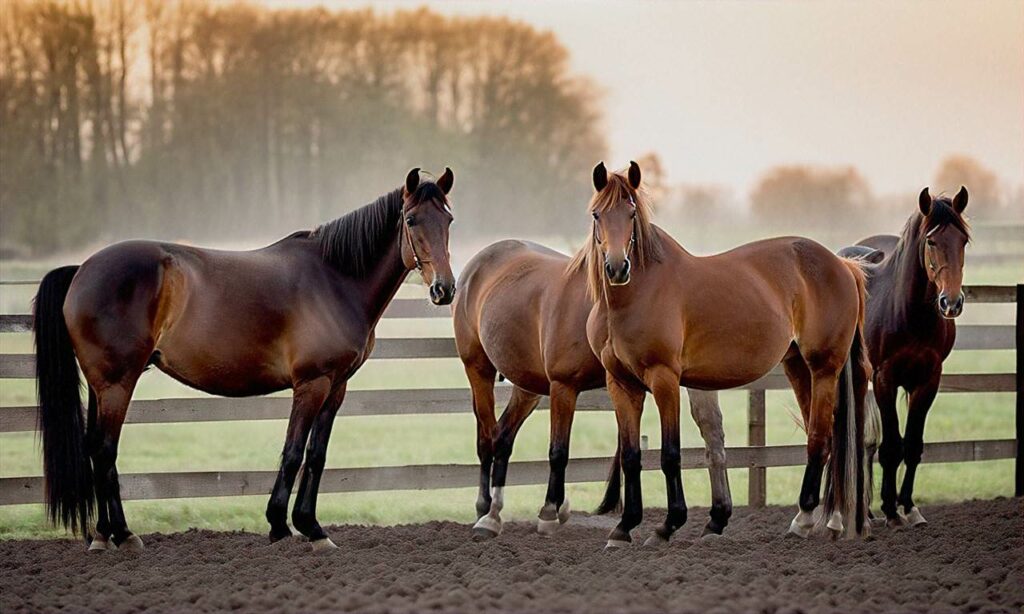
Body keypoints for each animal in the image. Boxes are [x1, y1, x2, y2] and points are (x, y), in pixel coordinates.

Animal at [34, 166, 456, 552]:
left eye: (448, 219)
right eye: (412, 220)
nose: (444, 289)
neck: (335, 279)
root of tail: (82, 269)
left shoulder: (336, 385)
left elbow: (316, 455)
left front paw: (312, 527)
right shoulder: (312, 383)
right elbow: (293, 452)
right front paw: (284, 526)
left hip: (102, 385)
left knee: (94, 447)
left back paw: (102, 535)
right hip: (117, 382)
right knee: (105, 449)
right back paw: (123, 534)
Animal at [452, 242, 733, 540]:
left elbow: (709, 435)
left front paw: (717, 515)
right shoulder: (564, 386)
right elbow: (559, 451)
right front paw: (550, 513)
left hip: (527, 385)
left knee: (503, 437)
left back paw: (495, 514)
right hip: (478, 369)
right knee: (487, 438)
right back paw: (485, 512)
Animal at [581, 161, 868, 548]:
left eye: (631, 213)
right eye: (597, 214)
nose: (617, 267)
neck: (635, 296)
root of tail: (841, 265)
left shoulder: (664, 379)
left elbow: (670, 454)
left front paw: (667, 525)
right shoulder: (621, 384)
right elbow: (630, 457)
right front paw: (623, 528)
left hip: (824, 367)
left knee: (820, 439)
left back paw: (804, 519)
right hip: (797, 366)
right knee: (826, 436)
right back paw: (828, 520)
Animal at [835, 187, 970, 528]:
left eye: (963, 240)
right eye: (932, 241)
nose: (951, 303)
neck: (910, 312)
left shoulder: (928, 380)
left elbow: (911, 445)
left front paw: (908, 506)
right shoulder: (885, 378)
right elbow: (892, 447)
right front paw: (890, 509)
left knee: (862, 443)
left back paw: (865, 510)